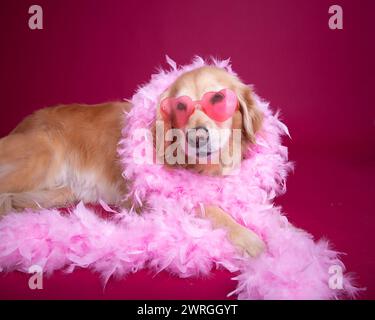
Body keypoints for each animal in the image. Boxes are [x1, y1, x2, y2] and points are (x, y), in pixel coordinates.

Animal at [0, 66, 266, 256]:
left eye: (218, 99)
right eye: (180, 106)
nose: (197, 138)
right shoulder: (158, 198)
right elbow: (210, 209)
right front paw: (247, 236)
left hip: (60, 191)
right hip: (42, 158)